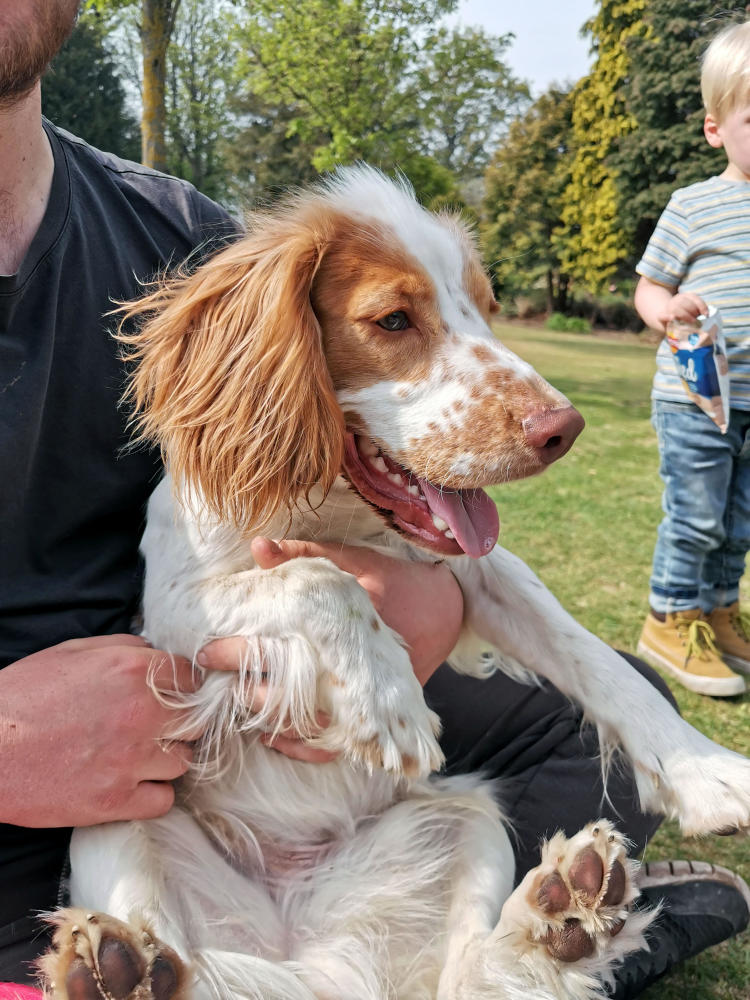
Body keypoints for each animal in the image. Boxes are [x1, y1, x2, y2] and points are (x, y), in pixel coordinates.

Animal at [41, 166, 750, 1000]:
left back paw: (564, 918)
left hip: (468, 817)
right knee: (172, 958)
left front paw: (706, 773)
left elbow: (595, 659)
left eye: (486, 307)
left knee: (475, 976)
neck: (333, 510)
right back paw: (118, 968)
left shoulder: (480, 573)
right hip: (115, 819)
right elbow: (318, 578)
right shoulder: (176, 609)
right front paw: (386, 700)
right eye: (392, 319)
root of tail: (312, 952)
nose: (563, 430)